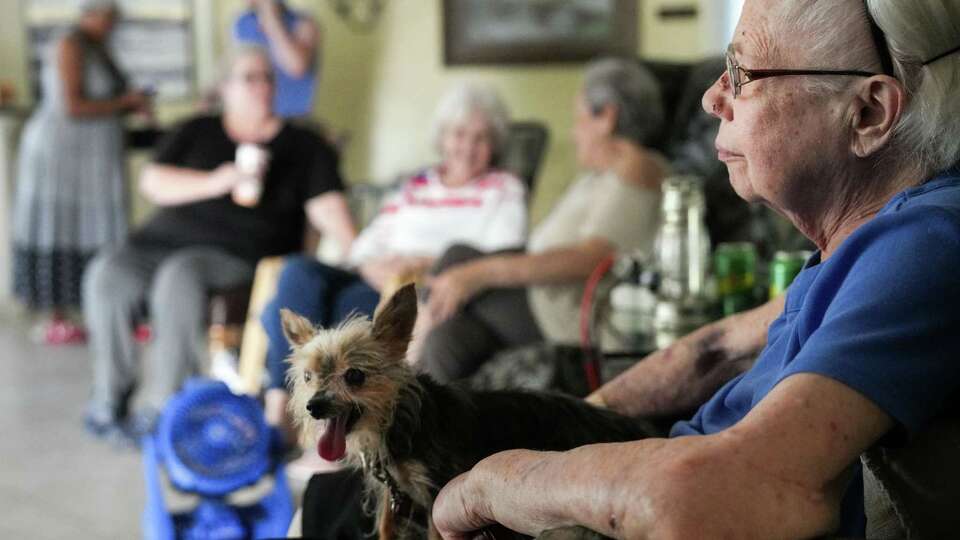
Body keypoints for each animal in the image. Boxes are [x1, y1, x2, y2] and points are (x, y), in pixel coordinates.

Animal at [282, 284, 656, 536]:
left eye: (355, 376)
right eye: (308, 377)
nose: (314, 406)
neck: (399, 423)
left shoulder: (438, 492)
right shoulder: (395, 496)